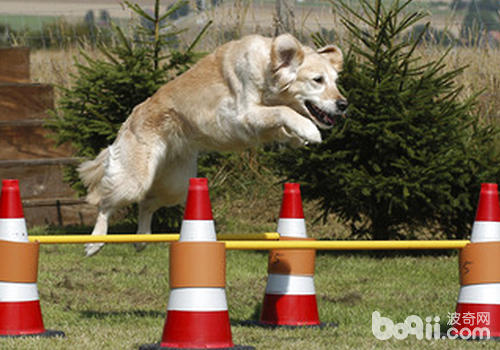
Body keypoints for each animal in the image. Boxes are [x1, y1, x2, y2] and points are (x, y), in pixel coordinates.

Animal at [80, 34, 346, 256]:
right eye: (317, 80)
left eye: (335, 81)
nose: (343, 104)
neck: (267, 70)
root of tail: (130, 118)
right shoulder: (243, 114)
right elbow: (282, 111)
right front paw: (309, 130)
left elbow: (281, 122)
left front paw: (297, 137)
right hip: (134, 179)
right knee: (105, 203)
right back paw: (95, 242)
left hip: (175, 184)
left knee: (146, 203)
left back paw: (142, 239)